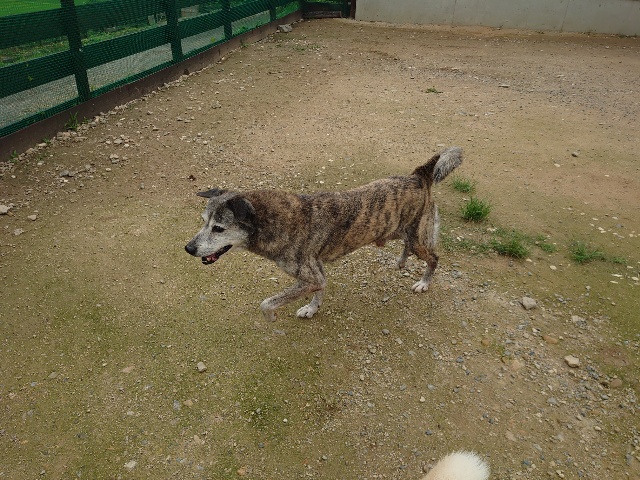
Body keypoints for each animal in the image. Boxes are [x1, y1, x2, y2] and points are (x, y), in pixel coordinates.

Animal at [185, 146, 463, 321]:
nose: (188, 248)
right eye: (203, 222)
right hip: (402, 231)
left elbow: (267, 303)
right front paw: (311, 309)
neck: (274, 222)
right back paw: (401, 261)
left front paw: (272, 316)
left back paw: (424, 283)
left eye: (218, 228)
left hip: (418, 238)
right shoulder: (316, 272)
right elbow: (320, 290)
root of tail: (419, 175)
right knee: (408, 246)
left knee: (433, 258)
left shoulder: (310, 276)